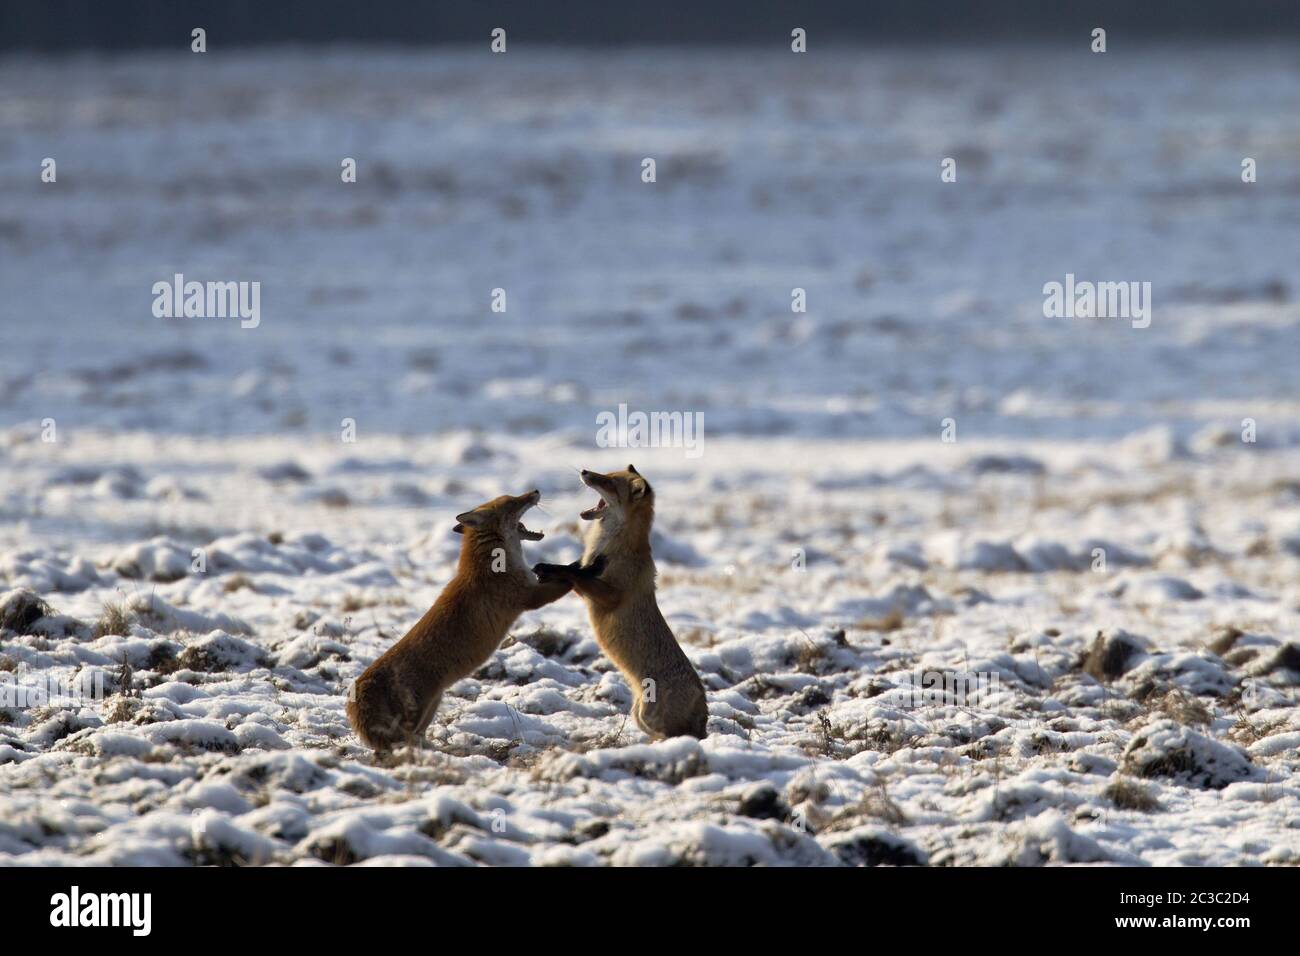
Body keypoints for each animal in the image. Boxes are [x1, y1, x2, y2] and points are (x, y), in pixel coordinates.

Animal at [345, 494, 569, 754]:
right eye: (511, 502)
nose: (535, 491)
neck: (493, 564)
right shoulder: (528, 597)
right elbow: (567, 583)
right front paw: (584, 568)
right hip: (419, 710)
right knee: (401, 744)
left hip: (433, 704)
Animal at [530, 468, 707, 743]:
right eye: (606, 474)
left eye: (608, 482)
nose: (584, 471)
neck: (611, 546)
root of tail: (704, 712)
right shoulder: (586, 583)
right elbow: (574, 570)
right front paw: (549, 569)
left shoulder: (611, 595)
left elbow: (578, 574)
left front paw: (555, 569)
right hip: (639, 715)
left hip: (648, 715)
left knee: (677, 735)